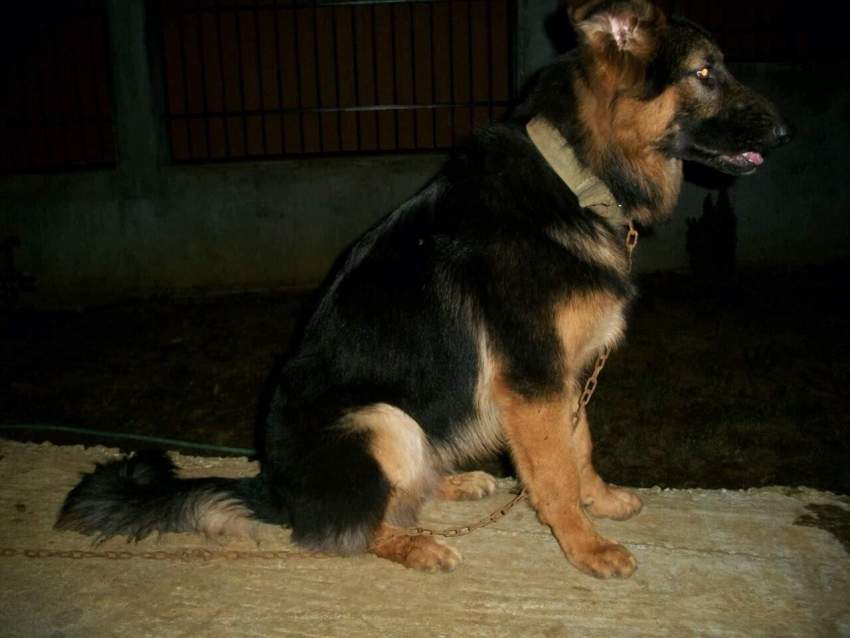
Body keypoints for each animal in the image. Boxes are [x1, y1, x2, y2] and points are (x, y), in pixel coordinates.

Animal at [58, 0, 788, 580]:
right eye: (705, 73)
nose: (785, 133)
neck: (575, 176)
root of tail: (270, 484)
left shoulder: (564, 375)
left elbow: (579, 445)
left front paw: (600, 500)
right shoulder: (534, 379)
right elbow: (553, 473)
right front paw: (585, 546)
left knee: (402, 489)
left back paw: (455, 484)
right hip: (381, 418)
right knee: (347, 526)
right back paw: (414, 545)